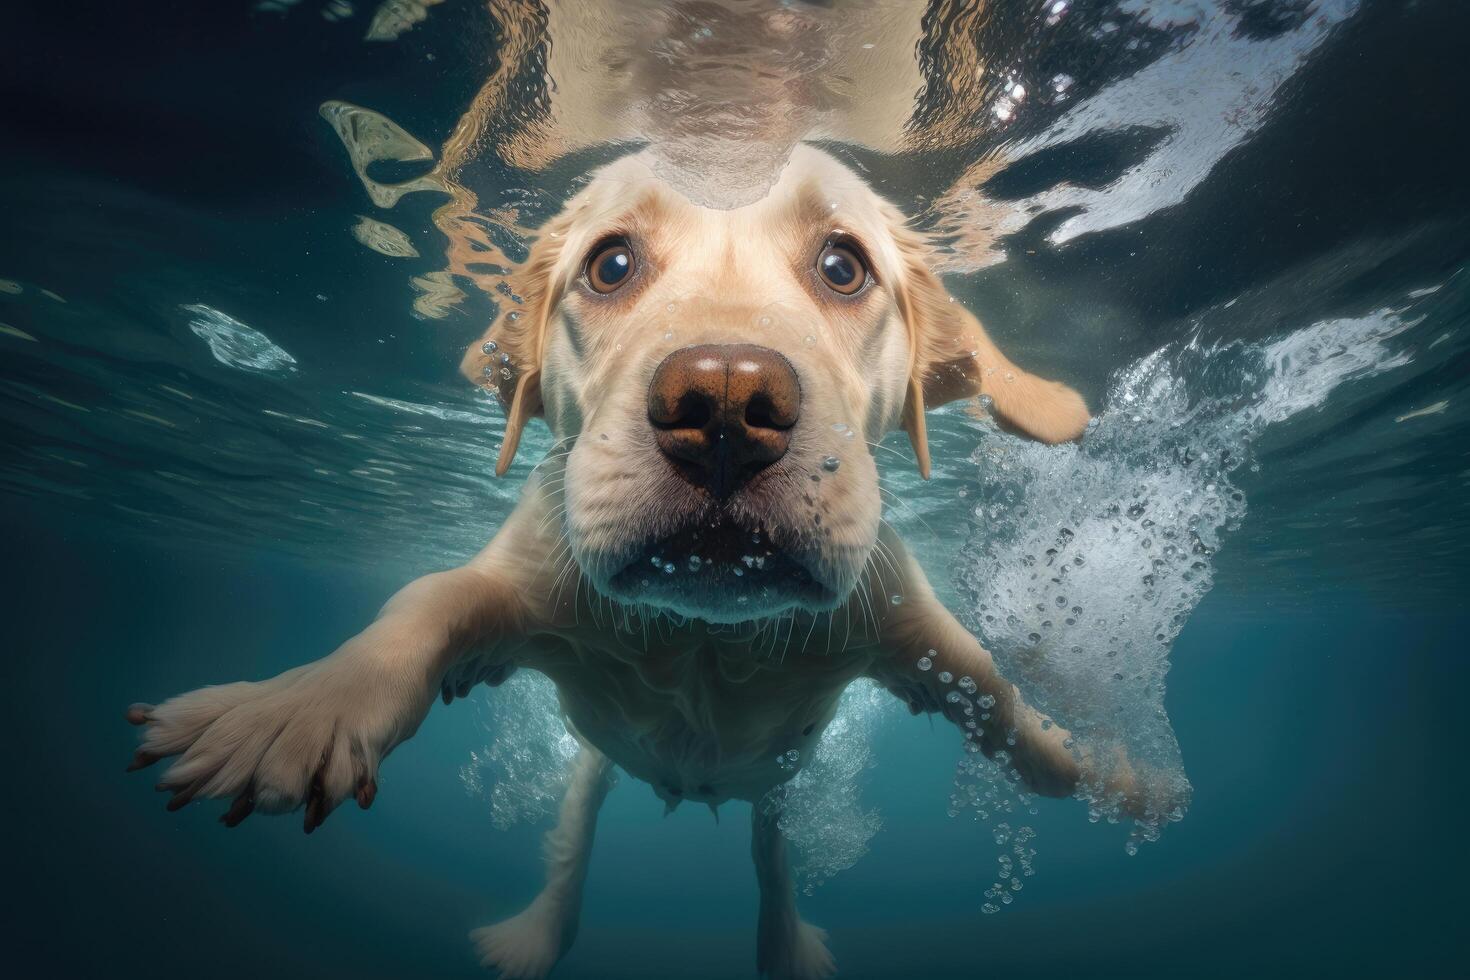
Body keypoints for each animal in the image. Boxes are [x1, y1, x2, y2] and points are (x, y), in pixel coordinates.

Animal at [129, 147, 1158, 980]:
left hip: (779, 782)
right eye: (611, 264)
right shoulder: (518, 578)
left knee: (772, 850)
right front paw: (296, 708)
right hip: (592, 764)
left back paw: (786, 944)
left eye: (843, 267)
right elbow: (424, 606)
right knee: (573, 839)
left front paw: (1112, 773)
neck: (705, 635)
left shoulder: (901, 616)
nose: (728, 404)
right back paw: (536, 935)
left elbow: (997, 691)